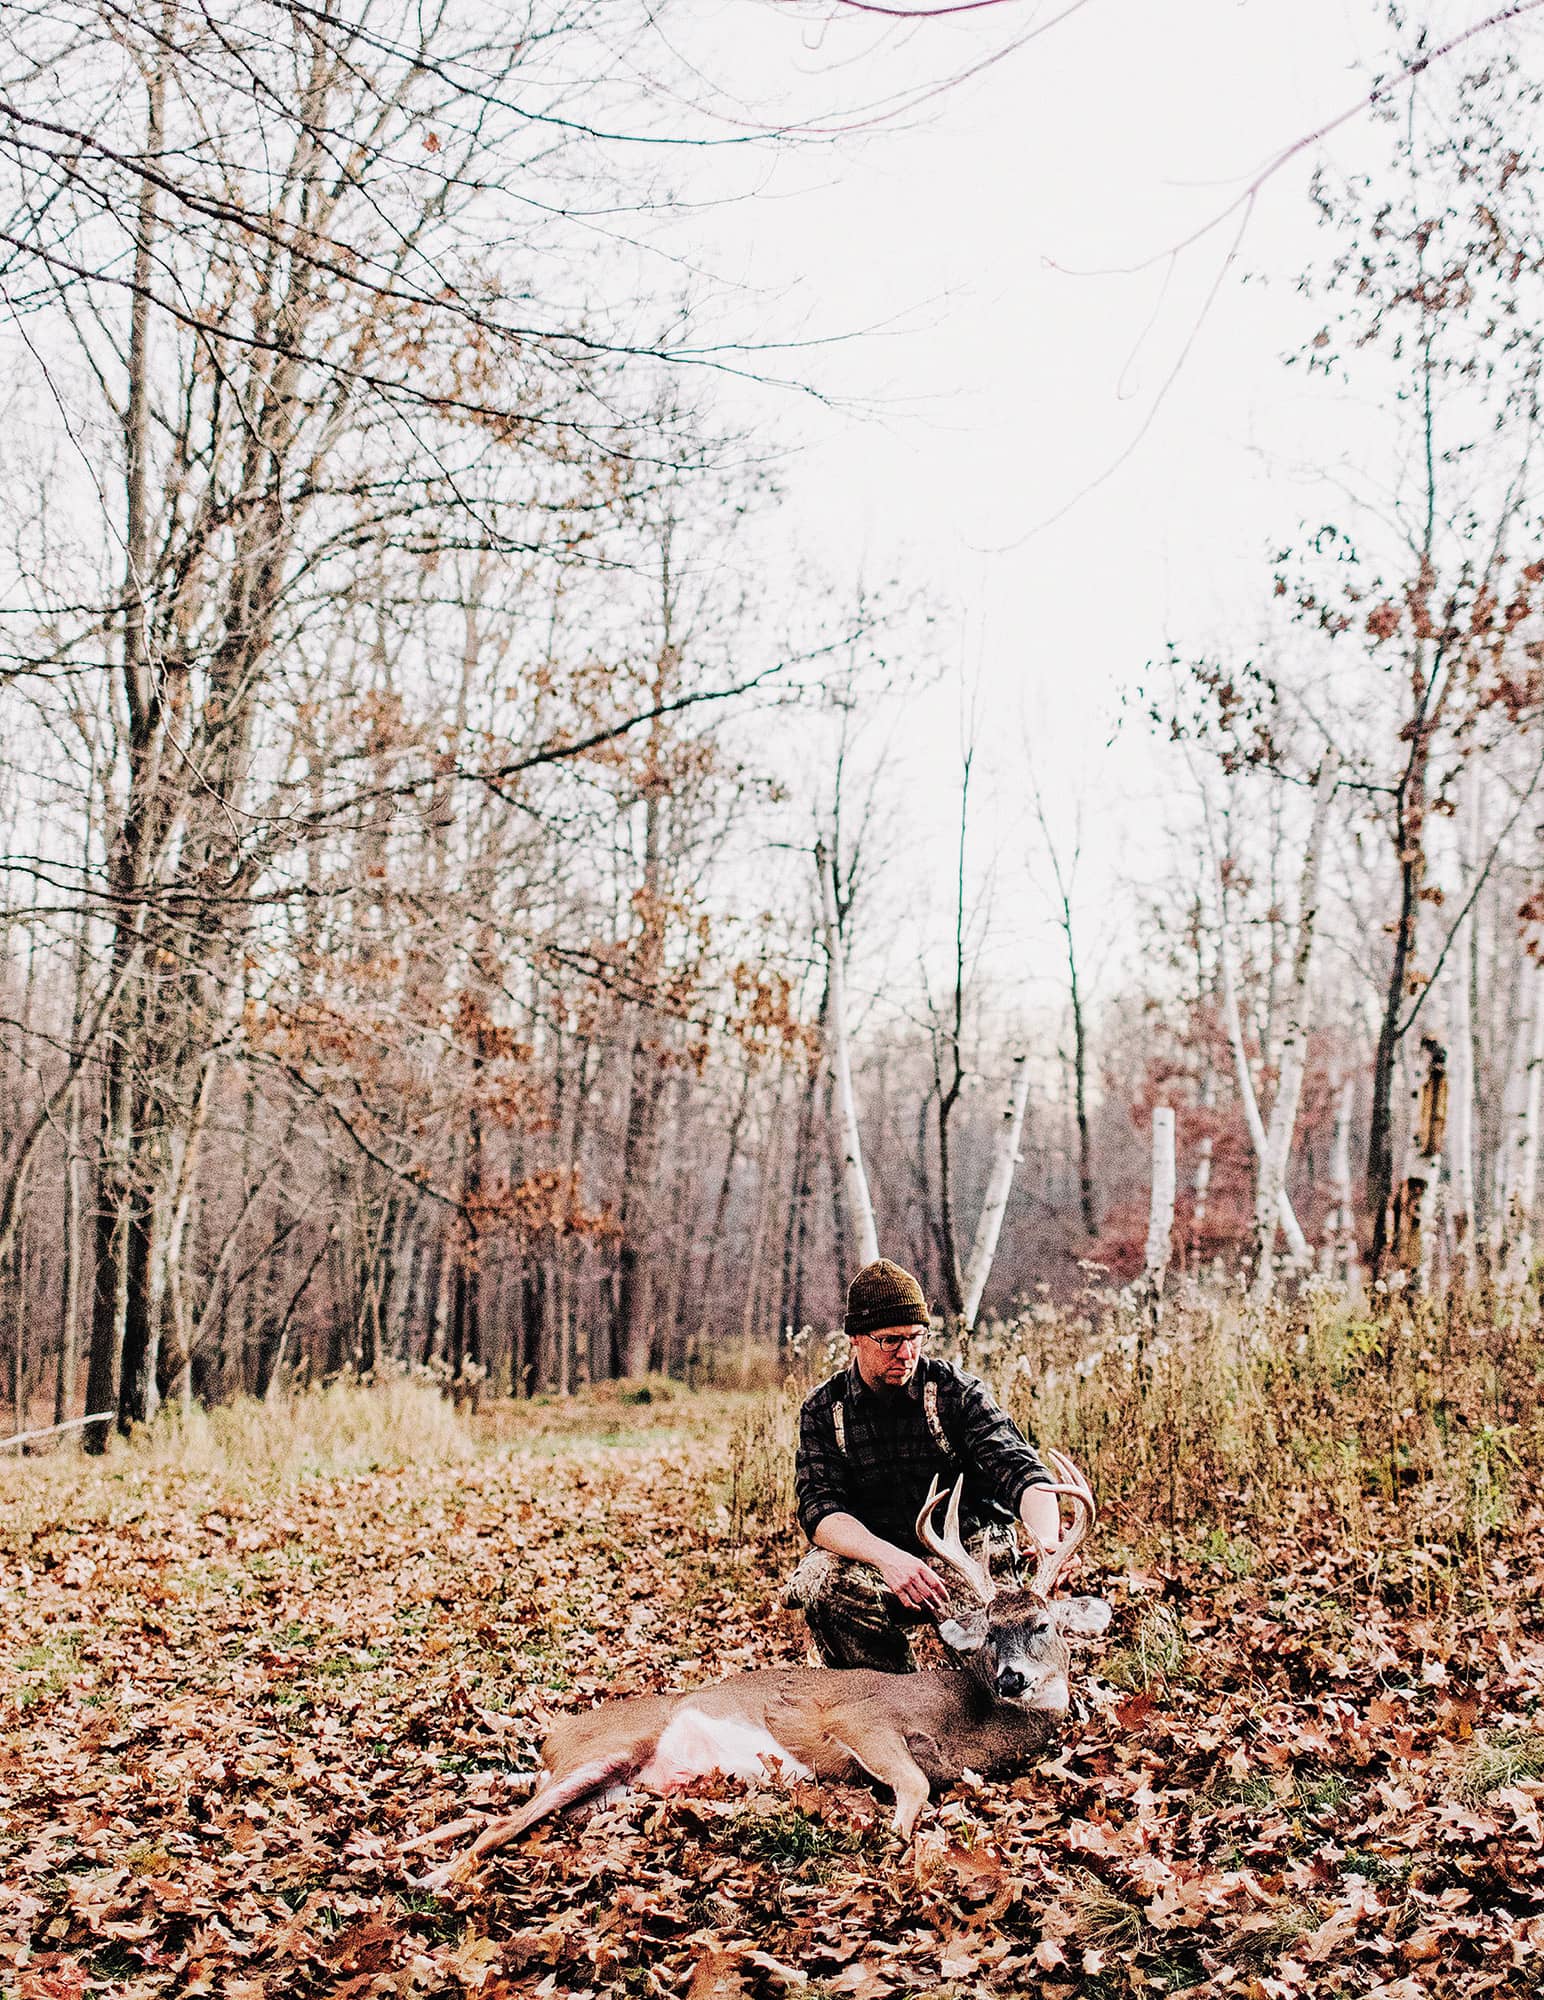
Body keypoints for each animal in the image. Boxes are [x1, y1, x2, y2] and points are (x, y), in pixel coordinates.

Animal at [416, 1448, 1104, 1864]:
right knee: (499, 1825)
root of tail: (549, 1742)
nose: (1012, 1678)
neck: (967, 1723)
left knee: (503, 1814)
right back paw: (433, 1880)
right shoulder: (860, 1718)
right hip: (608, 1750)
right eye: (988, 1632)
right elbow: (913, 1780)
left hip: (607, 1791)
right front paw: (888, 1839)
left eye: (1043, 1624)